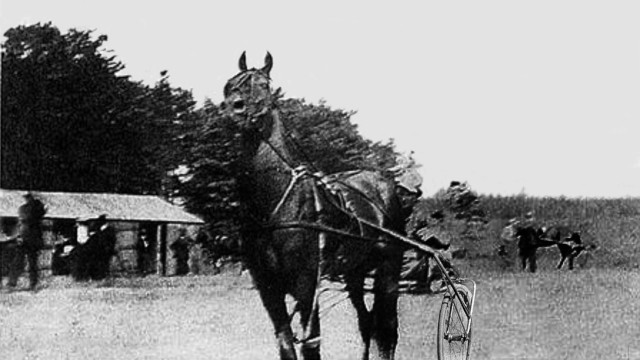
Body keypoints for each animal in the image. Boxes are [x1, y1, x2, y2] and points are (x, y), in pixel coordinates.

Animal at [220, 51, 410, 360]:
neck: (276, 205)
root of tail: (384, 182)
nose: (233, 108)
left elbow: (312, 344)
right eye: (230, 83)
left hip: (389, 268)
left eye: (263, 84)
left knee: (387, 329)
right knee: (366, 321)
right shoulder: (267, 287)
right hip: (354, 272)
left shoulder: (307, 283)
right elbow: (286, 344)